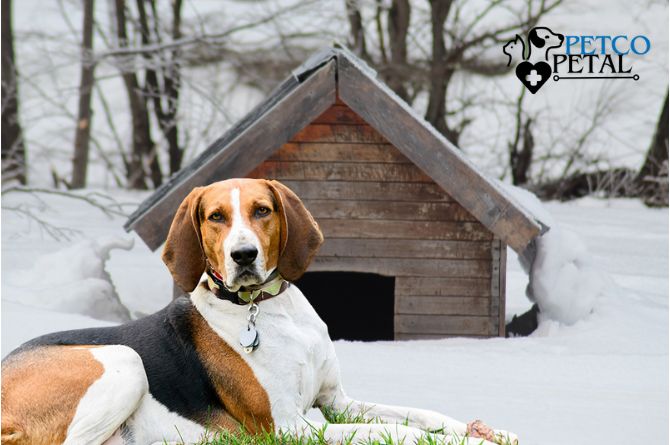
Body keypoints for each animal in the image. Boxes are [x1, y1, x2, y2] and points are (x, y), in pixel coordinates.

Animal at [0, 178, 520, 444]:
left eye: (263, 210)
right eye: (216, 217)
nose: (244, 255)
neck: (269, 310)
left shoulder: (335, 400)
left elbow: (419, 414)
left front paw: (486, 430)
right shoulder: (291, 426)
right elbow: (400, 433)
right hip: (123, 360)